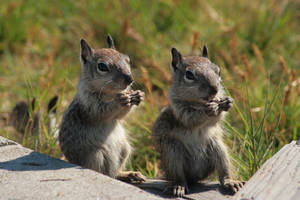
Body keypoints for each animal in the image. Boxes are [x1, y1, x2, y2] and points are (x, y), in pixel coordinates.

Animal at [58, 34, 145, 183]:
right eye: (102, 66)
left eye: (127, 59)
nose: (130, 79)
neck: (109, 93)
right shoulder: (89, 103)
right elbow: (101, 112)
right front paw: (120, 101)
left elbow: (120, 116)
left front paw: (138, 95)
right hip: (96, 155)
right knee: (105, 173)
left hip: (124, 148)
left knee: (115, 173)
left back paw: (129, 174)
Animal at [152, 45, 244, 197]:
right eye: (189, 75)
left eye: (218, 71)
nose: (214, 89)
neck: (199, 103)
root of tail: (196, 176)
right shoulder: (180, 110)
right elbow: (191, 119)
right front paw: (210, 109)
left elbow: (217, 119)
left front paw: (228, 102)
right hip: (173, 152)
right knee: (179, 177)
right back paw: (178, 186)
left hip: (218, 149)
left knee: (223, 173)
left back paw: (230, 182)